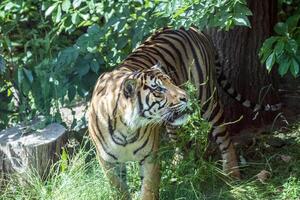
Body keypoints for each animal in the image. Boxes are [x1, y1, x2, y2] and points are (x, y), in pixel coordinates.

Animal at [88, 27, 280, 200]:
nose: (185, 97)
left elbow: (148, 190)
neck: (127, 128)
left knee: (224, 137)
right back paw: (179, 168)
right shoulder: (107, 162)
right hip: (173, 123)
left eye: (171, 82)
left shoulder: (150, 158)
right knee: (181, 144)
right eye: (159, 89)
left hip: (208, 101)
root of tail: (193, 28)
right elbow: (118, 189)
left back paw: (232, 174)